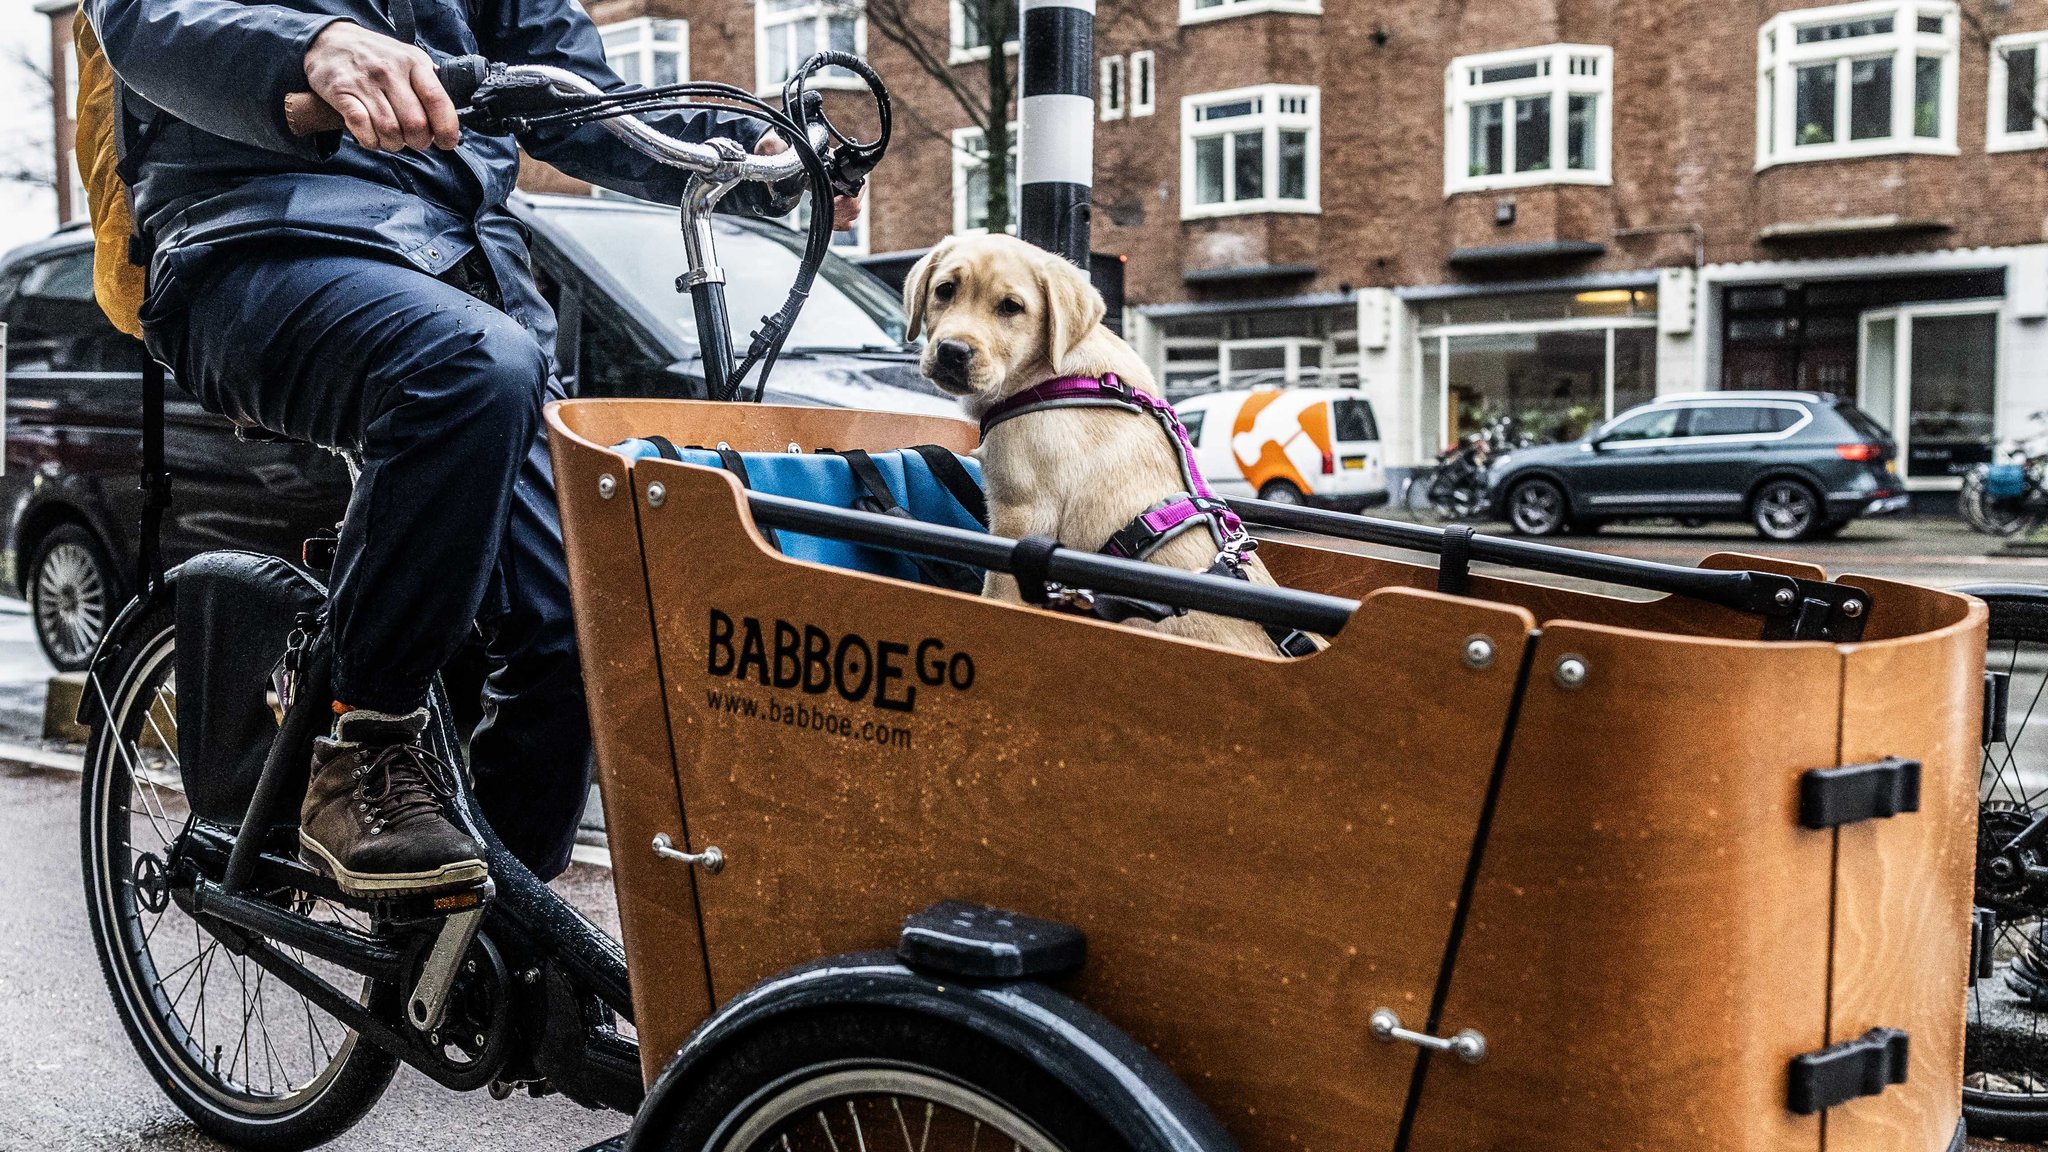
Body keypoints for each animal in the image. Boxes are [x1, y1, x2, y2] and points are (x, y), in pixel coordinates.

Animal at [913, 230, 1294, 655]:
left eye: (1011, 307)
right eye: (945, 290)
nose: (952, 351)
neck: (1057, 376)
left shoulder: (1020, 515)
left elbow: (996, 591)